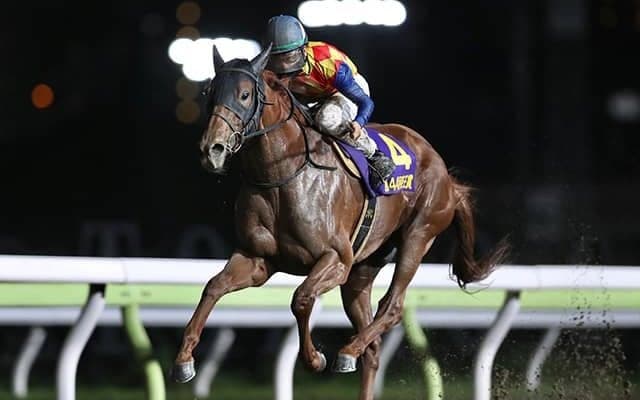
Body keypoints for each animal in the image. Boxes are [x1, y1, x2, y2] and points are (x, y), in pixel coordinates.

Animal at [171, 44, 510, 399]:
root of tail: (446, 175)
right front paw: (184, 361)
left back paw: (348, 350)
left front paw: (315, 358)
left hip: (419, 234)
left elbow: (301, 298)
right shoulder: (257, 260)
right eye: (210, 93)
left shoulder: (336, 259)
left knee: (392, 306)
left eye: (245, 94)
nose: (212, 149)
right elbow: (213, 287)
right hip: (363, 270)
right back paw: (357, 353)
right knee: (373, 347)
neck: (280, 176)